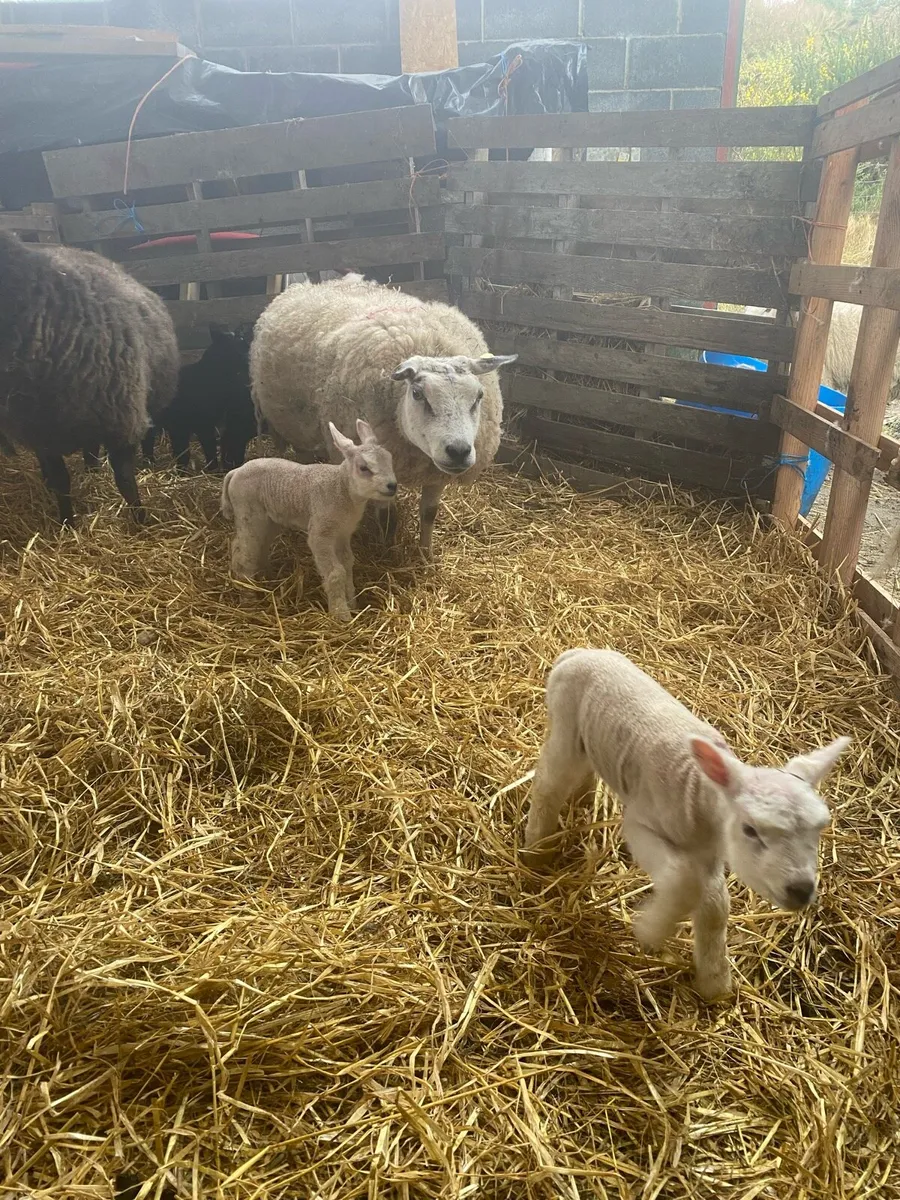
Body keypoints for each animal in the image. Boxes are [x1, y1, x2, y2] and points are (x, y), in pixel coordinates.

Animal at [0, 231, 178, 524]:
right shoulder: (43, 433)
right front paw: (66, 523)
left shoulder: (121, 422)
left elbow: (125, 480)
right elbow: (61, 482)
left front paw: (140, 520)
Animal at [143, 323, 255, 473]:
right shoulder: (183, 424)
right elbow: (185, 451)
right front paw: (185, 471)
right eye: (237, 345)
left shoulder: (205, 424)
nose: (250, 357)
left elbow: (208, 448)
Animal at [220, 418, 396, 621]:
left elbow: (347, 565)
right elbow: (336, 572)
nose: (393, 486)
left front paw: (352, 603)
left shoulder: (343, 533)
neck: (342, 488)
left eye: (390, 460)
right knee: (244, 554)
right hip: (248, 511)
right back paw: (248, 598)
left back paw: (266, 576)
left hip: (268, 519)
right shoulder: (321, 532)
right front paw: (341, 614)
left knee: (250, 546)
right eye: (364, 468)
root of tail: (235, 471)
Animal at [250, 274, 517, 556]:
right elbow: (389, 518)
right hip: (285, 421)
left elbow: (430, 513)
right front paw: (386, 550)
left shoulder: (437, 474)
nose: (458, 451)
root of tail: (306, 286)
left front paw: (426, 553)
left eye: (479, 396)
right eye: (418, 394)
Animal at [522, 648, 851, 1000]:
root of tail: (578, 652)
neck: (698, 791)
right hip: (565, 722)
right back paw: (536, 851)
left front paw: (714, 983)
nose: (801, 890)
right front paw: (651, 931)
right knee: (549, 784)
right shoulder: (642, 823)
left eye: (819, 828)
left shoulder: (710, 855)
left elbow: (715, 907)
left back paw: (583, 798)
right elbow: (683, 882)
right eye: (750, 830)